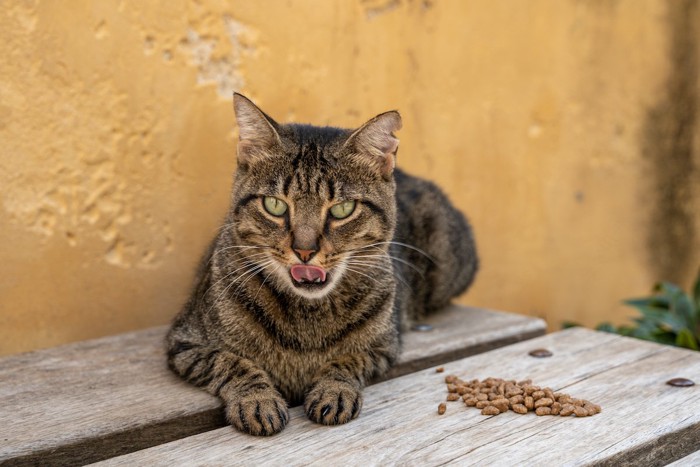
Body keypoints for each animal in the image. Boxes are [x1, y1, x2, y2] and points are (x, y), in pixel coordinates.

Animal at [167, 93, 478, 436]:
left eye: (343, 209)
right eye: (274, 205)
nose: (304, 251)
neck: (308, 319)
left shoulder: (384, 346)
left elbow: (347, 361)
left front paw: (334, 390)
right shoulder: (186, 343)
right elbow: (232, 363)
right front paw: (258, 400)